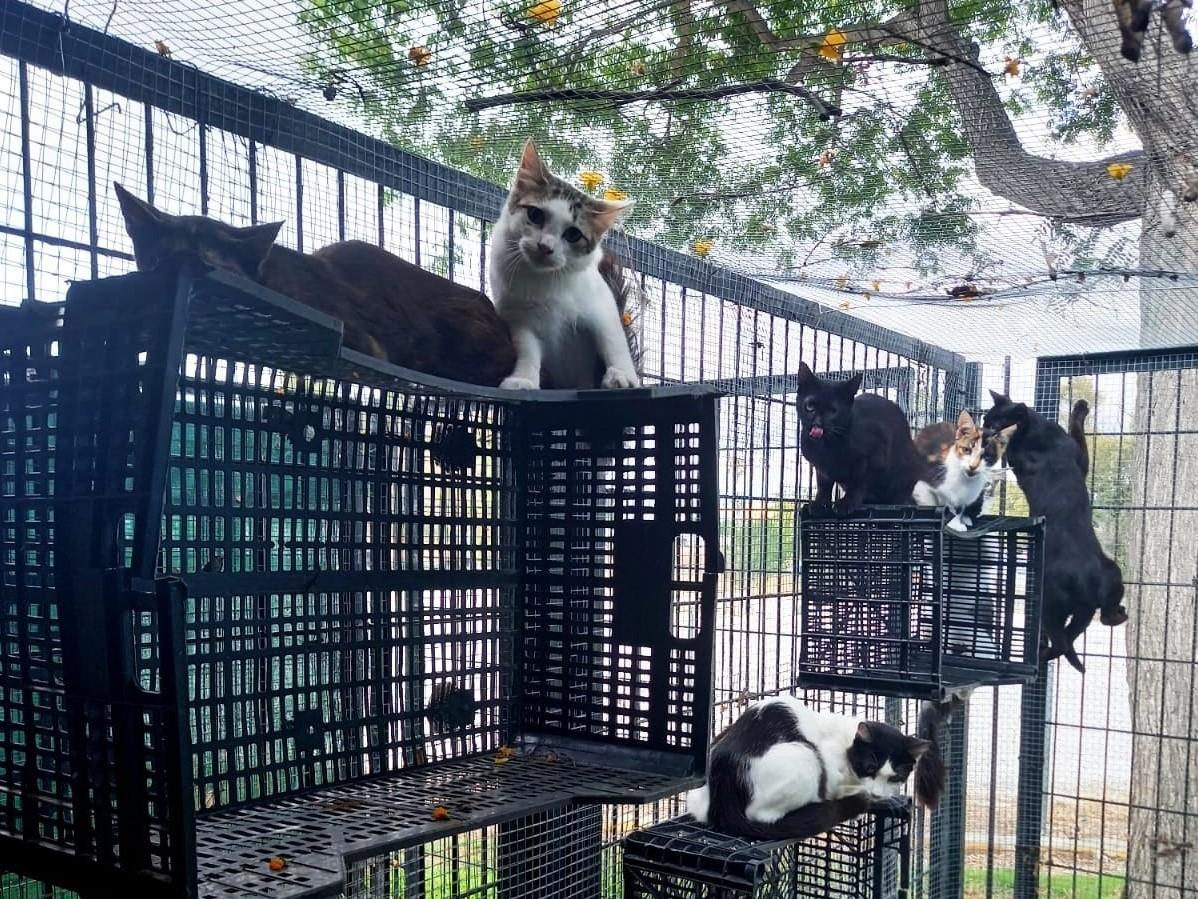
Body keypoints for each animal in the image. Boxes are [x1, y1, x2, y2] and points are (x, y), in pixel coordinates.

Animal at [486, 140, 642, 390]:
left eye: (573, 234)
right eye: (535, 215)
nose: (545, 247)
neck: (546, 281)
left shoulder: (603, 307)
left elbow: (613, 342)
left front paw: (622, 374)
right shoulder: (519, 319)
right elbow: (528, 351)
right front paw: (524, 379)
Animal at [690, 695, 948, 843]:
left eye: (896, 776)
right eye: (870, 766)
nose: (876, 793)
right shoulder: (830, 769)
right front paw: (862, 800)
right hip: (806, 758)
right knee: (762, 815)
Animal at [800, 361, 929, 517]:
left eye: (833, 411)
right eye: (810, 406)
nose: (817, 423)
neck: (827, 445)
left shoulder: (876, 455)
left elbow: (859, 482)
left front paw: (847, 503)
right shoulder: (821, 467)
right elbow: (824, 486)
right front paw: (820, 504)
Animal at [982, 390, 1121, 671]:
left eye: (992, 424)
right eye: (984, 420)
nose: (982, 432)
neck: (1036, 430)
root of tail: (1087, 583)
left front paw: (1079, 409)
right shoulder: (1080, 460)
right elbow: (1078, 435)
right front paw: (1080, 409)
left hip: (1054, 604)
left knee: (1064, 642)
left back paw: (1040, 654)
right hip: (1107, 580)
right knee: (1076, 635)